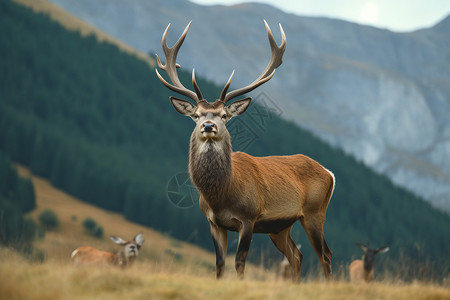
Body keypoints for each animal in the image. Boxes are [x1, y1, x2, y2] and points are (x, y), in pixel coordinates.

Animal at [155, 19, 334, 280]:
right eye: (196, 115)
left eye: (224, 115)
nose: (208, 126)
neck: (221, 195)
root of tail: (328, 172)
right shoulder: (214, 222)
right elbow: (219, 263)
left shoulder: (249, 218)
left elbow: (240, 262)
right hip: (280, 226)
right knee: (297, 256)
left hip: (314, 212)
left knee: (325, 255)